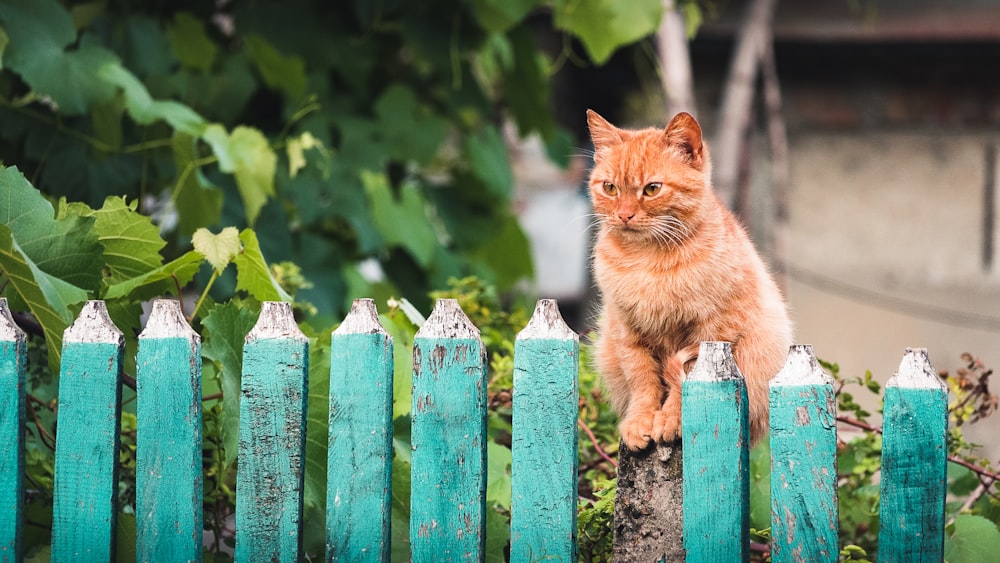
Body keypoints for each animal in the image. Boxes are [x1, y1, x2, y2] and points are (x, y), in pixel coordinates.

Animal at [584, 110, 788, 452]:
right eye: (610, 188)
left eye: (652, 189)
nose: (624, 215)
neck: (646, 259)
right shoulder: (627, 331)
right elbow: (642, 380)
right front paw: (640, 420)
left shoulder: (711, 331)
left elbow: (685, 383)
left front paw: (671, 420)